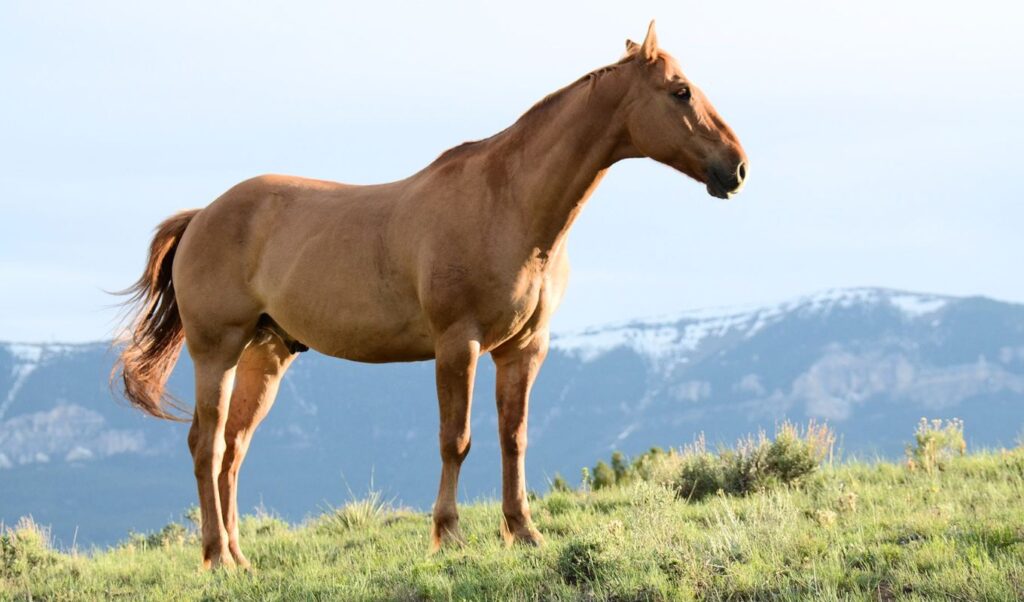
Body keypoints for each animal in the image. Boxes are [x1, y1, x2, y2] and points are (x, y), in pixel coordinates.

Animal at [114, 21, 747, 569]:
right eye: (680, 91)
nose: (736, 168)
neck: (508, 203)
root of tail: (202, 215)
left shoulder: (524, 349)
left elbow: (513, 438)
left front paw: (524, 532)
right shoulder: (457, 345)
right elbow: (456, 440)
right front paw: (449, 535)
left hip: (264, 356)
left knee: (233, 450)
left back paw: (240, 557)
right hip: (217, 350)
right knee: (206, 445)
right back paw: (217, 557)